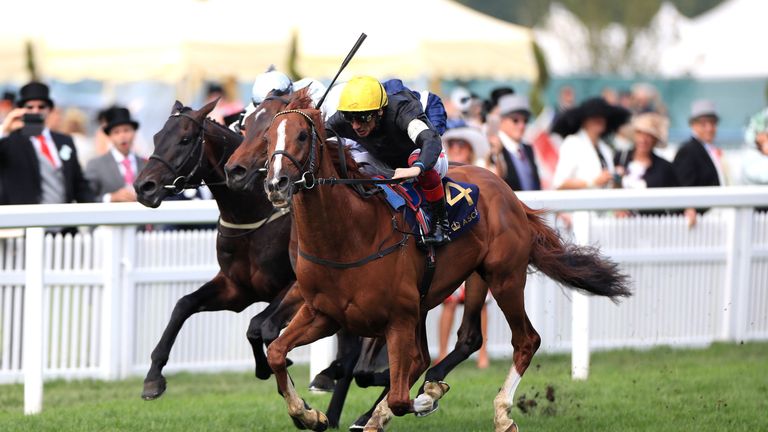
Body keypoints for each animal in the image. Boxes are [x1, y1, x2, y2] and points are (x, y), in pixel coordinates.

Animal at [134, 97, 296, 398]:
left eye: (185, 139)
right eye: (156, 137)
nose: (143, 187)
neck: (254, 213)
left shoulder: (297, 285)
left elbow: (257, 326)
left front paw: (270, 366)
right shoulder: (237, 288)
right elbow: (183, 305)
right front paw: (153, 377)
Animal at [260, 93, 632, 430]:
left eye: (302, 135)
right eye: (267, 138)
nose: (276, 183)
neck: (349, 237)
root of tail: (507, 191)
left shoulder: (398, 318)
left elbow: (400, 396)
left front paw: (424, 398)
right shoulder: (322, 313)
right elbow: (277, 352)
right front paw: (309, 414)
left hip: (504, 277)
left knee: (526, 340)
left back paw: (498, 411)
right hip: (459, 284)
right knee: (462, 340)